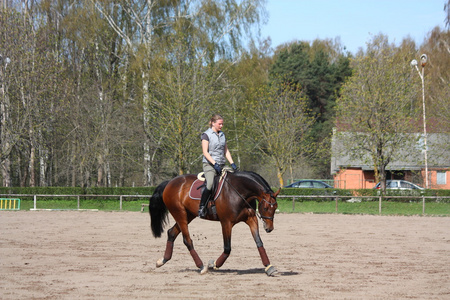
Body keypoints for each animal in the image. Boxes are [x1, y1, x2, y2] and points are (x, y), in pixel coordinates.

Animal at [149, 170, 280, 276]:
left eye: (275, 207)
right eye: (266, 208)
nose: (269, 228)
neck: (239, 191)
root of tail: (170, 182)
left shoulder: (251, 219)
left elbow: (259, 242)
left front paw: (269, 267)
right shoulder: (226, 222)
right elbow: (227, 248)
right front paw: (214, 264)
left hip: (188, 215)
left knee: (171, 233)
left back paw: (162, 260)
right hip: (180, 214)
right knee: (187, 240)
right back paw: (202, 266)